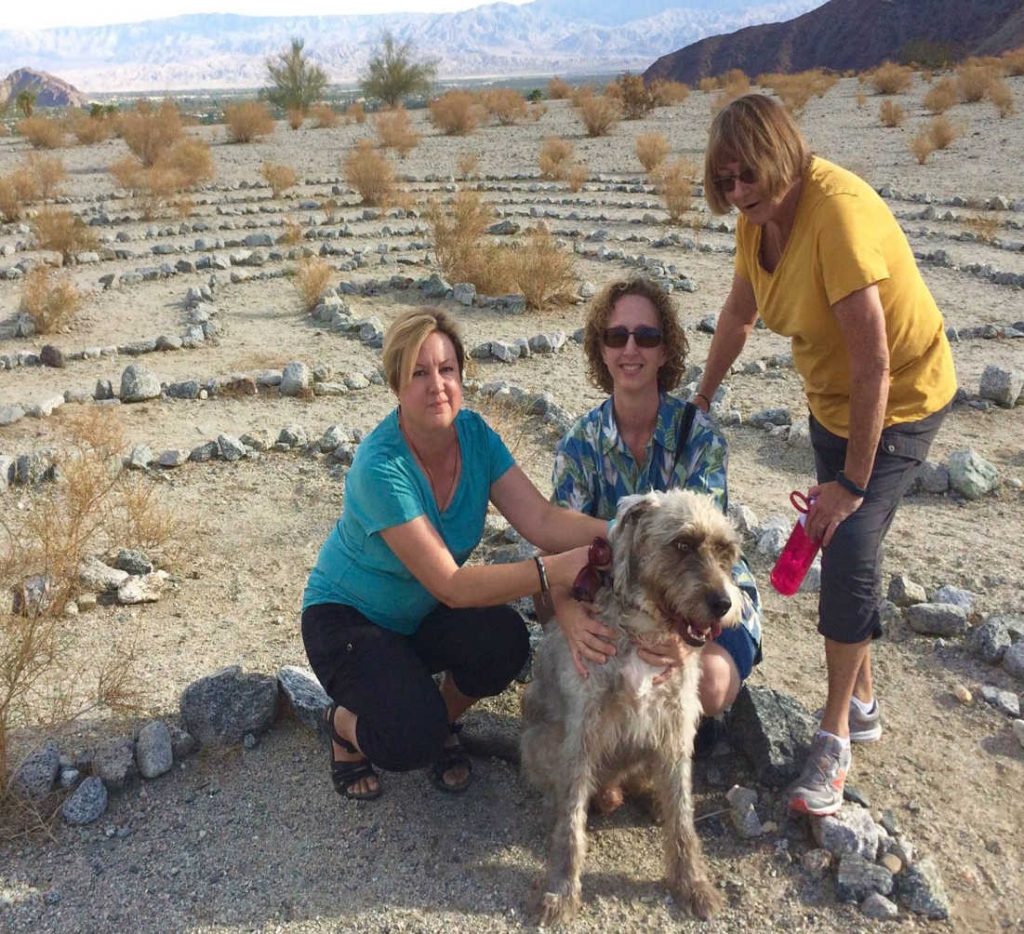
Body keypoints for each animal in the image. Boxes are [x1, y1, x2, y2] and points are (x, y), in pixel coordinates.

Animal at [524, 489, 741, 925]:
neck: (644, 629)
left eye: (725, 550)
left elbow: (682, 815)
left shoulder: (675, 727)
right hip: (542, 739)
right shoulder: (582, 733)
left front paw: (692, 883)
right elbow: (571, 822)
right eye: (682, 544)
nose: (723, 603)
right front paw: (561, 890)